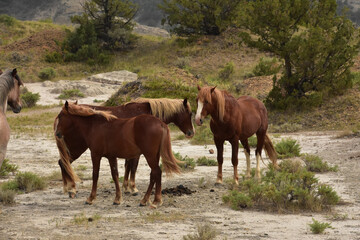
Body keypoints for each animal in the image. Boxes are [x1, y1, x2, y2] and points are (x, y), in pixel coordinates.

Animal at [54, 97, 193, 197]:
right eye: (190, 113)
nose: (191, 132)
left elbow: (127, 167)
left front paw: (126, 187)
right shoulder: (136, 153)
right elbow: (133, 167)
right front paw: (132, 188)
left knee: (63, 162)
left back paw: (69, 188)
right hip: (77, 149)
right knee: (64, 162)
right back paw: (71, 188)